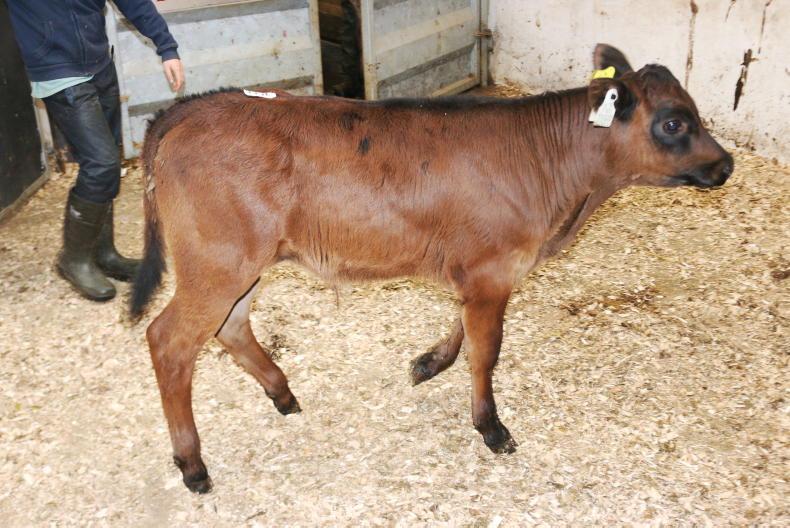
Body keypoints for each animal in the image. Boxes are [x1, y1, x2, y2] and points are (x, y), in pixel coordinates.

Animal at [130, 45, 733, 493]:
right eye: (674, 122)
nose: (726, 164)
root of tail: (192, 108)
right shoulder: (492, 270)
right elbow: (486, 352)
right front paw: (491, 427)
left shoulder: (480, 270)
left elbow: (463, 331)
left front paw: (429, 364)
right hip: (217, 263)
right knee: (169, 341)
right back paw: (193, 464)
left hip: (245, 264)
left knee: (230, 328)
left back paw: (283, 395)